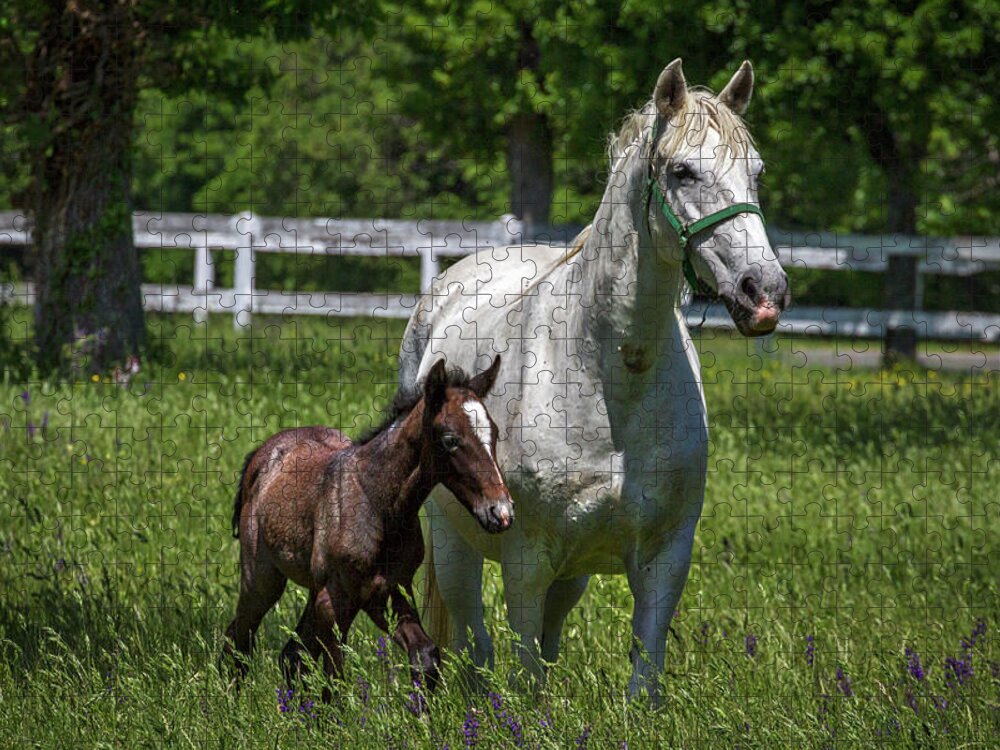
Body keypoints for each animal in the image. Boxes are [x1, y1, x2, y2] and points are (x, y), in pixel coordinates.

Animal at [223, 356, 512, 700]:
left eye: (495, 432)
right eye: (450, 439)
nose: (501, 512)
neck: (378, 504)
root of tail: (262, 453)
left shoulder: (387, 591)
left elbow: (425, 655)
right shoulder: (338, 598)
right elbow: (335, 678)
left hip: (315, 589)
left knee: (292, 654)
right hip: (262, 578)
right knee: (239, 636)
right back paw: (233, 703)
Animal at [396, 58, 788, 700]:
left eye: (756, 171)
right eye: (682, 171)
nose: (765, 293)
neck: (609, 381)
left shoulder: (664, 557)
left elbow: (642, 674)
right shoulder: (526, 560)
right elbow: (525, 671)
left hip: (571, 572)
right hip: (456, 544)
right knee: (476, 642)